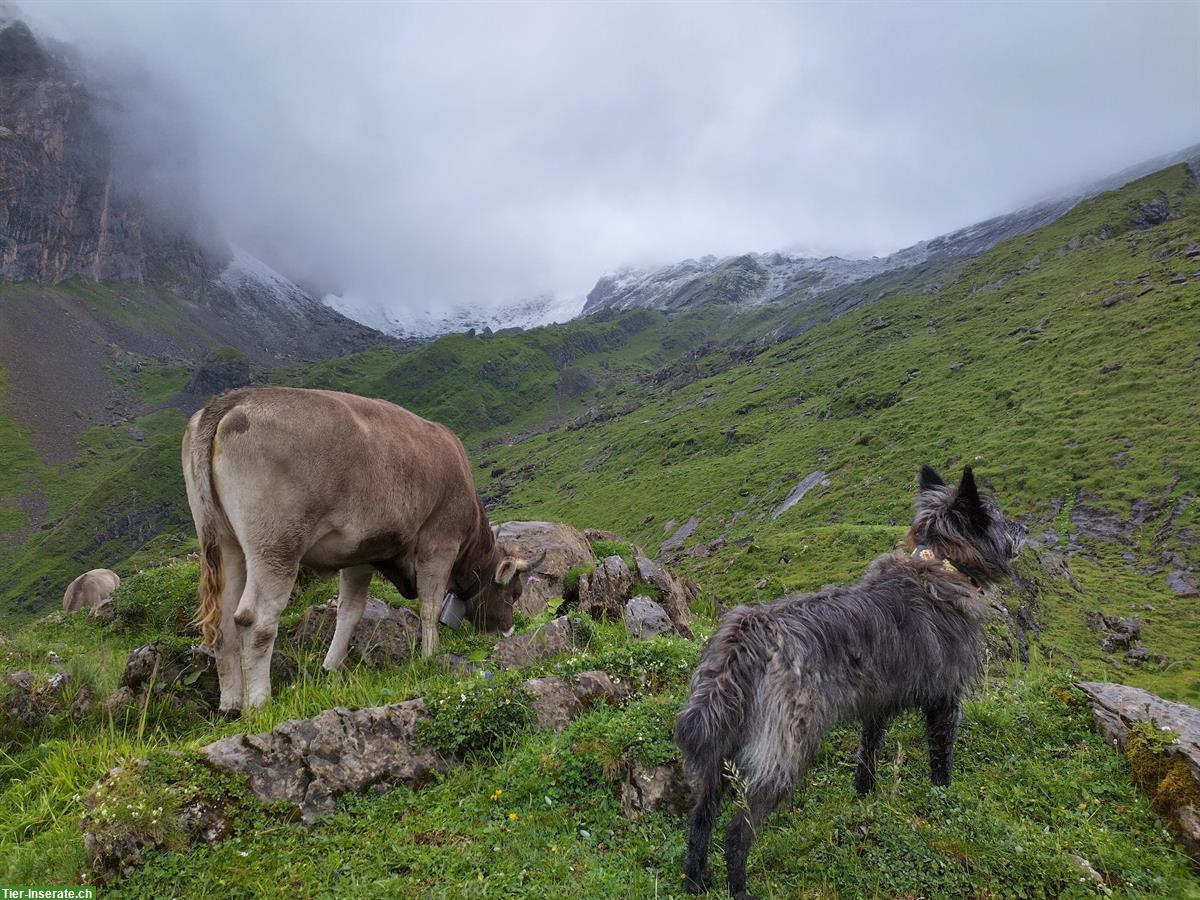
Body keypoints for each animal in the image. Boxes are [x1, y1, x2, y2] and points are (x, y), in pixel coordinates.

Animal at [181, 388, 544, 710]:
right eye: (513, 594)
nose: (509, 631)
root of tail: (235, 399)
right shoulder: (440, 542)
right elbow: (430, 605)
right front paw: (430, 655)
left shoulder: (363, 555)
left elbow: (350, 612)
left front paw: (330, 666)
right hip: (276, 546)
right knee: (255, 620)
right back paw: (258, 702)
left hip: (224, 542)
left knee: (223, 623)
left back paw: (231, 703)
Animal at [676, 468, 1022, 897]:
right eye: (997, 516)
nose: (1023, 530)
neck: (941, 564)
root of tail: (746, 636)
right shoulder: (945, 699)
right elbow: (941, 758)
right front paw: (942, 798)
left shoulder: (877, 704)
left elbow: (868, 752)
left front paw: (864, 796)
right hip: (784, 754)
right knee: (737, 832)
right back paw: (739, 889)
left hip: (721, 751)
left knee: (701, 818)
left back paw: (695, 880)